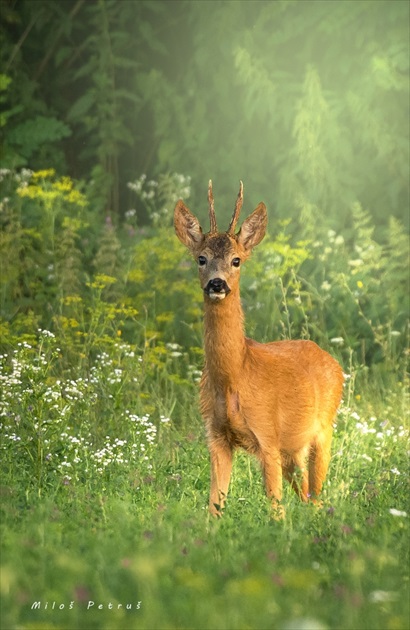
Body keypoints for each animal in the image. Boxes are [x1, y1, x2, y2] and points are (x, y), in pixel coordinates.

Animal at [173, 181, 342, 520]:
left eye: (236, 260)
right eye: (201, 258)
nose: (217, 284)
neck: (234, 376)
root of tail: (332, 360)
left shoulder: (267, 434)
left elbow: (275, 507)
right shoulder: (216, 436)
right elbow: (214, 505)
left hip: (324, 428)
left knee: (316, 493)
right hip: (292, 450)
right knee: (306, 492)